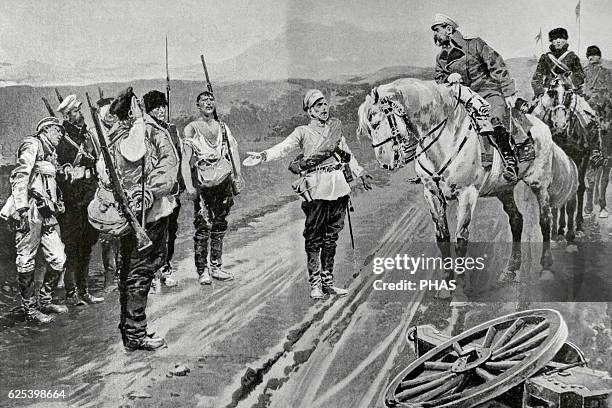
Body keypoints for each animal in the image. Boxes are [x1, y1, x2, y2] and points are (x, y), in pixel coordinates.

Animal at [356, 78, 576, 286]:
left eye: (376, 123)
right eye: (368, 129)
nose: (385, 163)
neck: (444, 140)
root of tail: (542, 126)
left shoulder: (467, 194)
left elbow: (461, 238)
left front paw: (461, 285)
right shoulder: (432, 194)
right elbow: (442, 237)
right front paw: (446, 285)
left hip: (540, 183)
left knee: (545, 219)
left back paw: (546, 267)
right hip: (504, 189)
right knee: (517, 220)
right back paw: (511, 269)